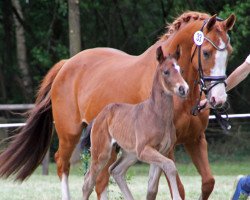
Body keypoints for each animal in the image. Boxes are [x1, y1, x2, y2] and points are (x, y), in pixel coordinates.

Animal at [83, 46, 188, 200]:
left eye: (181, 70)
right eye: (166, 71)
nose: (183, 89)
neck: (158, 115)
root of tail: (98, 117)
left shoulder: (162, 150)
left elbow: (152, 188)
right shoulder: (144, 149)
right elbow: (170, 166)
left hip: (130, 153)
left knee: (116, 171)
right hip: (101, 153)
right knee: (88, 182)